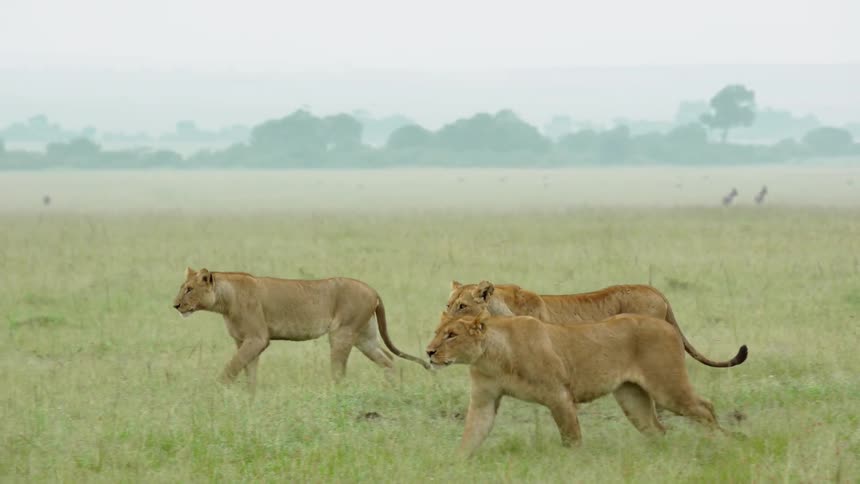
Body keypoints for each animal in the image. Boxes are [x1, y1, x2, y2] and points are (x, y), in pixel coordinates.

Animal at [172, 268, 429, 392]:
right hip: (364, 337)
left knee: (339, 372)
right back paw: (393, 389)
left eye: (189, 289)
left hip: (342, 333)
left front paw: (216, 391)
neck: (225, 300)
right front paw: (250, 396)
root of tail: (373, 290)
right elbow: (248, 370)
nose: (175, 305)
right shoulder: (244, 341)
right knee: (388, 360)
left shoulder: (257, 338)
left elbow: (232, 367)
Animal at [426, 310, 726, 456]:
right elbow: (471, 436)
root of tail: (668, 326)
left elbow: (571, 439)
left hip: (667, 387)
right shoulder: (484, 401)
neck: (492, 358)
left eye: (452, 335)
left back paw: (720, 444)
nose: (429, 351)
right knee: (658, 429)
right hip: (632, 398)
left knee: (706, 408)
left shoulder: (559, 395)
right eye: (436, 332)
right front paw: (454, 466)